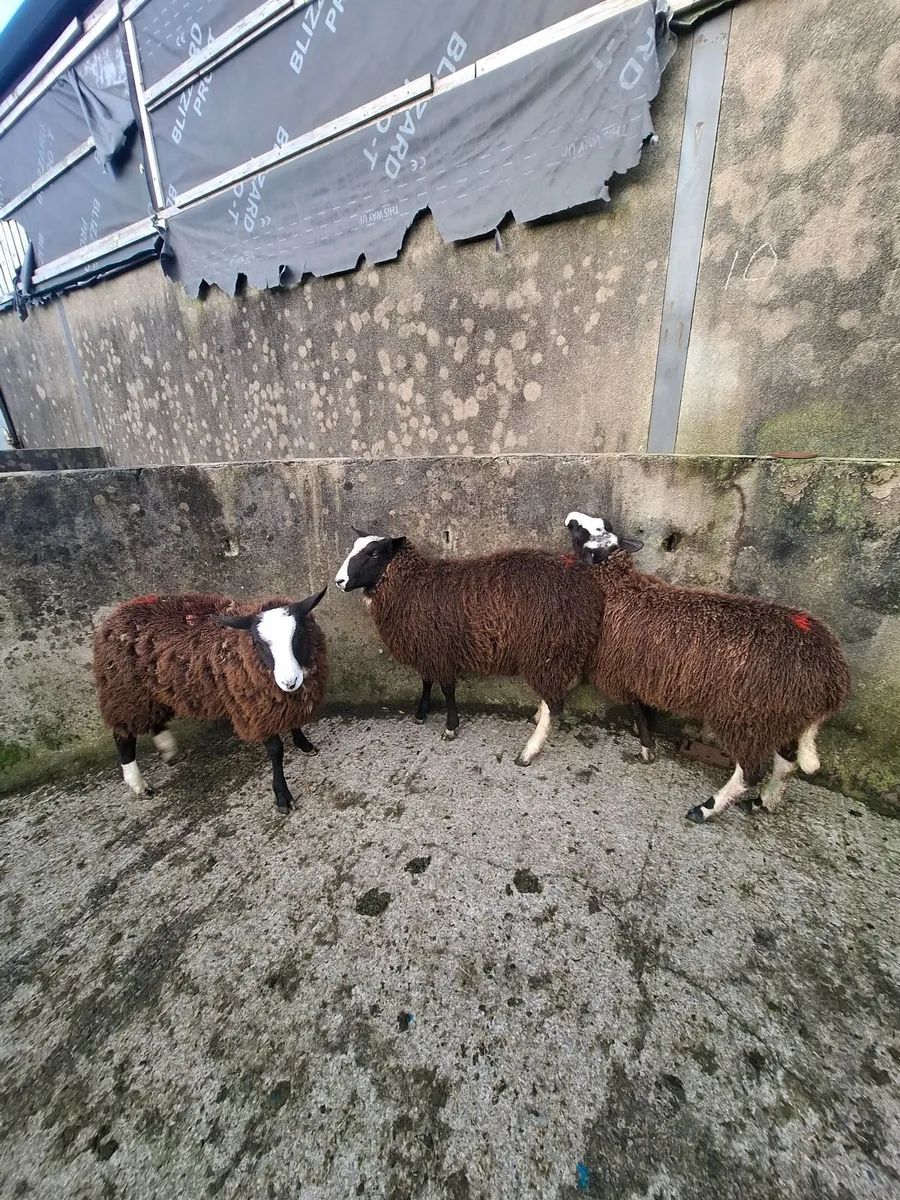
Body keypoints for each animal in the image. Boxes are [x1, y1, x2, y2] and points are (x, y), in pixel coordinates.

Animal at [93, 588, 328, 813]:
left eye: (299, 633)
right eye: (258, 642)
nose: (289, 682)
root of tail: (114, 615)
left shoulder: (282, 702)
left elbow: (294, 723)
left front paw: (305, 745)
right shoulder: (254, 709)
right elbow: (275, 751)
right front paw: (282, 796)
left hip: (153, 690)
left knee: (155, 719)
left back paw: (168, 750)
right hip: (124, 693)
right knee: (123, 737)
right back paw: (138, 784)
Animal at [334, 532, 605, 765]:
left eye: (374, 554)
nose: (339, 581)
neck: (412, 584)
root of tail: (588, 588)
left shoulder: (439, 650)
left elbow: (447, 689)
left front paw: (450, 727)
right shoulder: (427, 648)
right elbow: (426, 681)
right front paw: (421, 713)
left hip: (548, 647)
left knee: (553, 705)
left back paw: (528, 751)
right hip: (555, 651)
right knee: (552, 693)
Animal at [565, 512, 851, 822]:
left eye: (582, 534)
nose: (570, 518)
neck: (619, 588)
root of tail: (834, 681)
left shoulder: (621, 670)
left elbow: (635, 708)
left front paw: (646, 748)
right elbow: (639, 708)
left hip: (745, 717)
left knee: (752, 772)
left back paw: (705, 809)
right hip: (780, 718)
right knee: (787, 765)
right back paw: (762, 803)